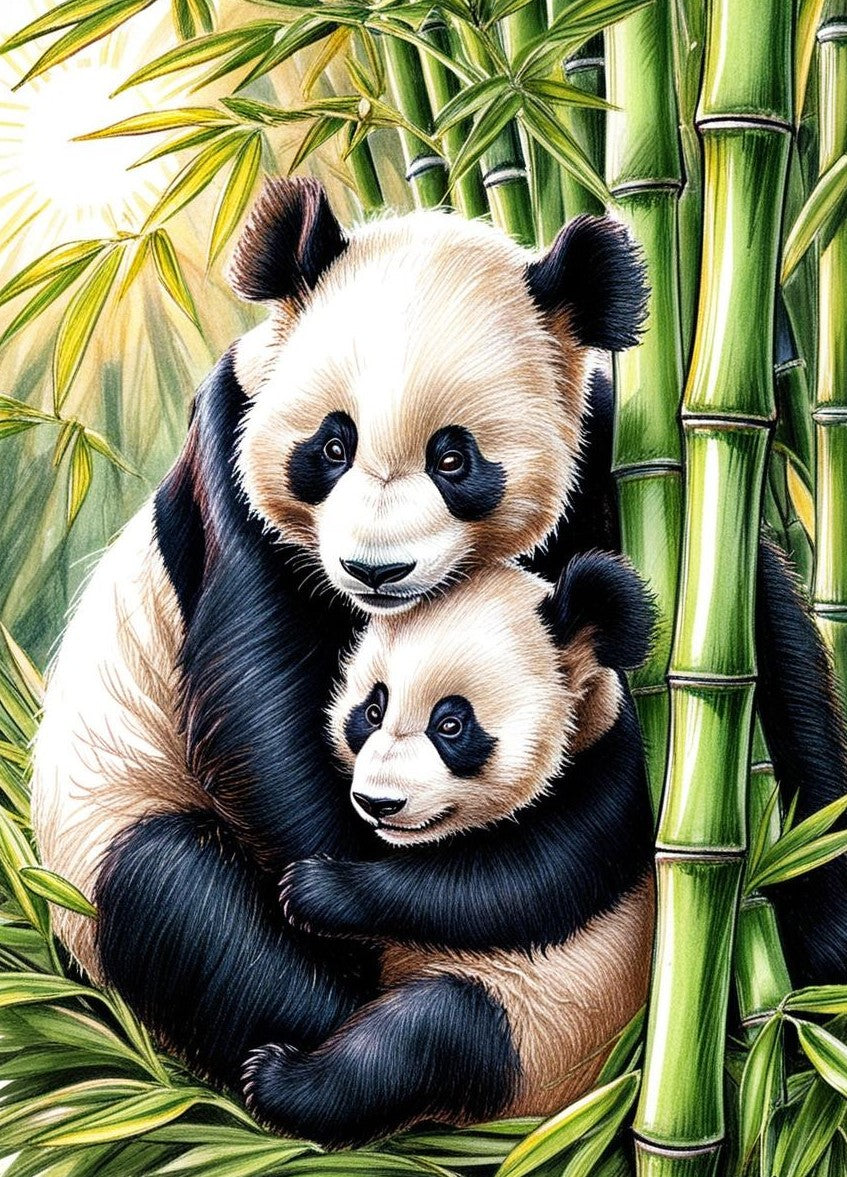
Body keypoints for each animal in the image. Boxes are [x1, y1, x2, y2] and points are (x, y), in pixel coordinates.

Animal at [243, 553, 656, 1147]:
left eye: (452, 724)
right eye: (372, 710)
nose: (378, 802)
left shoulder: (603, 793)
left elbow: (503, 890)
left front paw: (315, 890)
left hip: (539, 1030)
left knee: (427, 1035)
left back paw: (277, 1079)